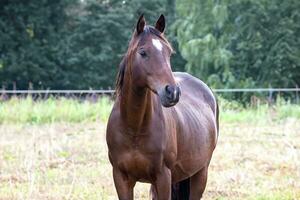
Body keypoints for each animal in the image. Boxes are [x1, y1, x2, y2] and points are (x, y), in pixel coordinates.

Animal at [106, 14, 219, 200]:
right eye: (143, 52)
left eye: (168, 53)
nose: (173, 92)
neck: (134, 128)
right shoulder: (121, 178)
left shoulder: (163, 177)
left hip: (200, 173)